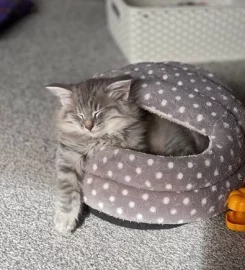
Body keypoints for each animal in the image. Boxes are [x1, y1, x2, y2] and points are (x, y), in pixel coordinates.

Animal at [46, 76, 145, 234]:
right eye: (80, 115)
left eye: (97, 112)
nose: (88, 126)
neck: (97, 140)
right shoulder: (69, 155)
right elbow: (68, 191)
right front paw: (65, 221)